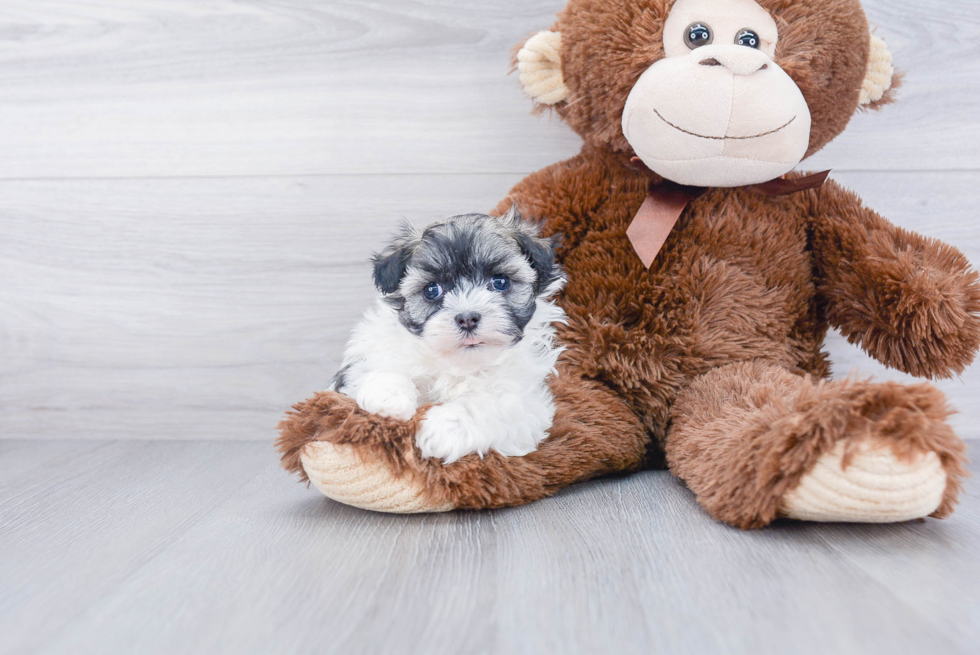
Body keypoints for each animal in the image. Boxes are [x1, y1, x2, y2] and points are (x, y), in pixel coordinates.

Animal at [334, 209, 568, 462]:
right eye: (431, 290)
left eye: (500, 282)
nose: (467, 318)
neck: (458, 364)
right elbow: (375, 368)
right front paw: (388, 398)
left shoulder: (529, 404)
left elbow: (495, 405)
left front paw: (444, 428)